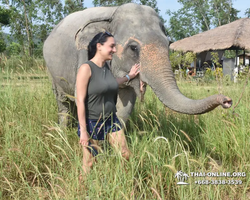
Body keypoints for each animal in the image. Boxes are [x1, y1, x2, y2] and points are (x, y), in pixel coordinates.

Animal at [43, 2, 232, 126]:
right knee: (63, 102)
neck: (112, 13)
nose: (227, 101)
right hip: (52, 72)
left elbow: (124, 107)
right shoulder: (83, 57)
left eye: (169, 44)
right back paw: (64, 131)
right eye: (133, 48)